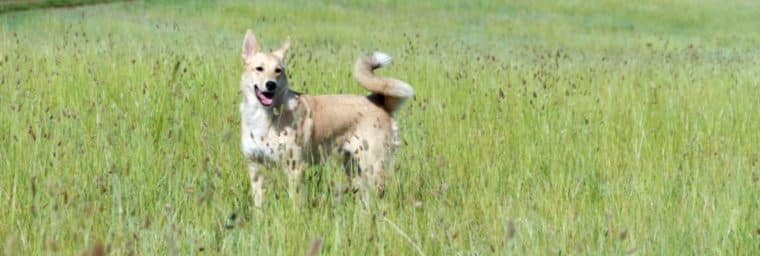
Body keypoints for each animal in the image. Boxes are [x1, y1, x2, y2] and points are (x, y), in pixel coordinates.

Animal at [239, 30, 412, 207]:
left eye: (278, 70)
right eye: (259, 68)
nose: (271, 84)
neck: (264, 116)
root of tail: (378, 100)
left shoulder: (295, 167)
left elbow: (296, 204)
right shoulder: (255, 168)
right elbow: (258, 204)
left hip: (373, 167)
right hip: (354, 168)